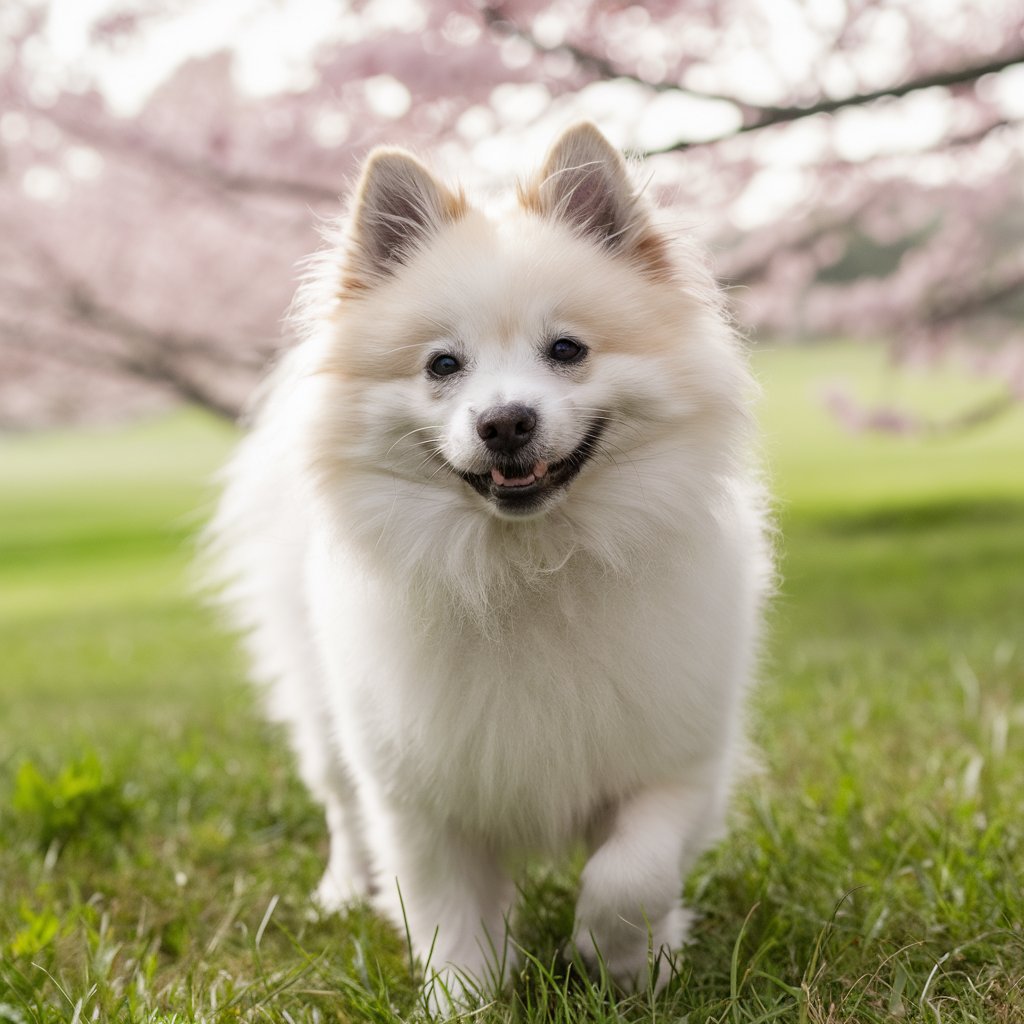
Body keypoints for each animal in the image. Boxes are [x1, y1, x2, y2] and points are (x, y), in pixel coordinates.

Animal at [205, 121, 770, 1007]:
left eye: (567, 349)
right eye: (443, 365)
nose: (505, 421)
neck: (524, 567)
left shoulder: (678, 760)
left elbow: (630, 875)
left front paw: (622, 958)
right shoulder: (417, 792)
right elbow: (445, 912)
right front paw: (466, 997)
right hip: (317, 698)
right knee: (337, 800)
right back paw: (342, 890)